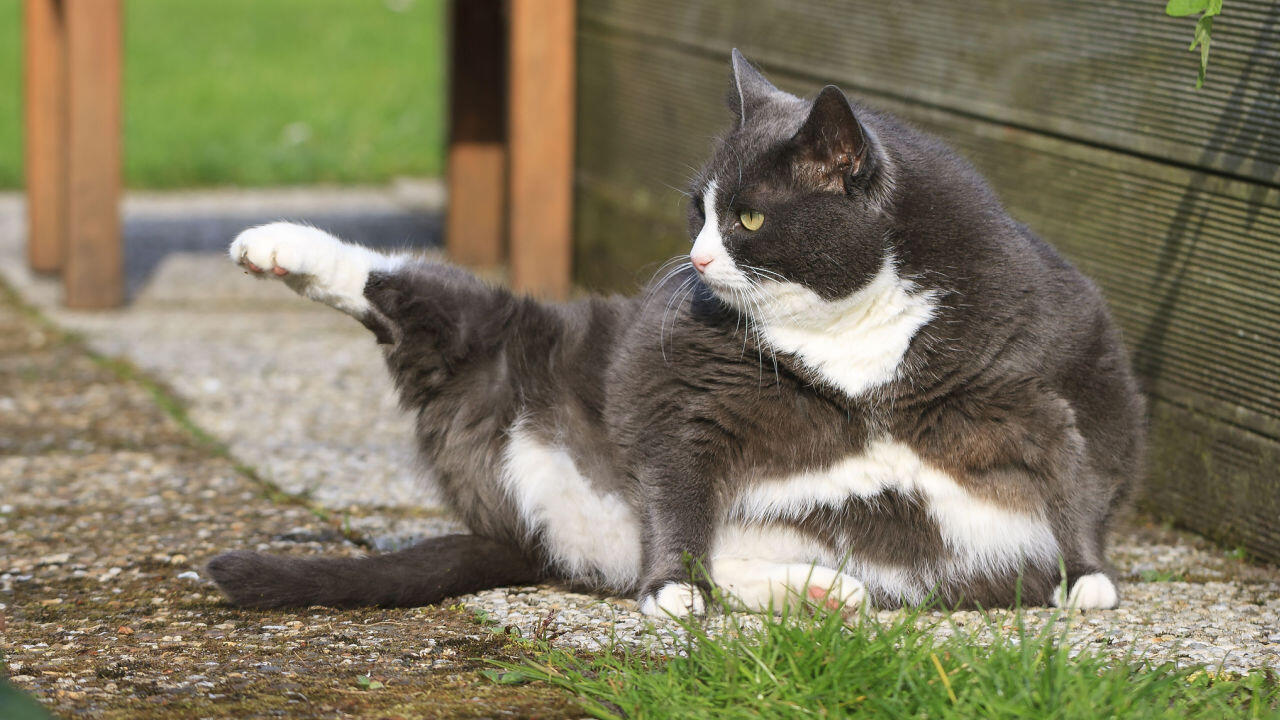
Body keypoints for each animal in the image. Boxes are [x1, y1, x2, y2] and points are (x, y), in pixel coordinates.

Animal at [204, 51, 1146, 609]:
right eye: (699, 209)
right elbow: (677, 478)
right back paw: (271, 247)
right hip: (500, 341)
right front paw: (669, 593)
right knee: (410, 297)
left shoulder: (1054, 380)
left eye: (750, 219)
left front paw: (1089, 581)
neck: (853, 339)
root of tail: (536, 534)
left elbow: (1077, 474)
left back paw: (823, 594)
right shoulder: (685, 392)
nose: (692, 261)